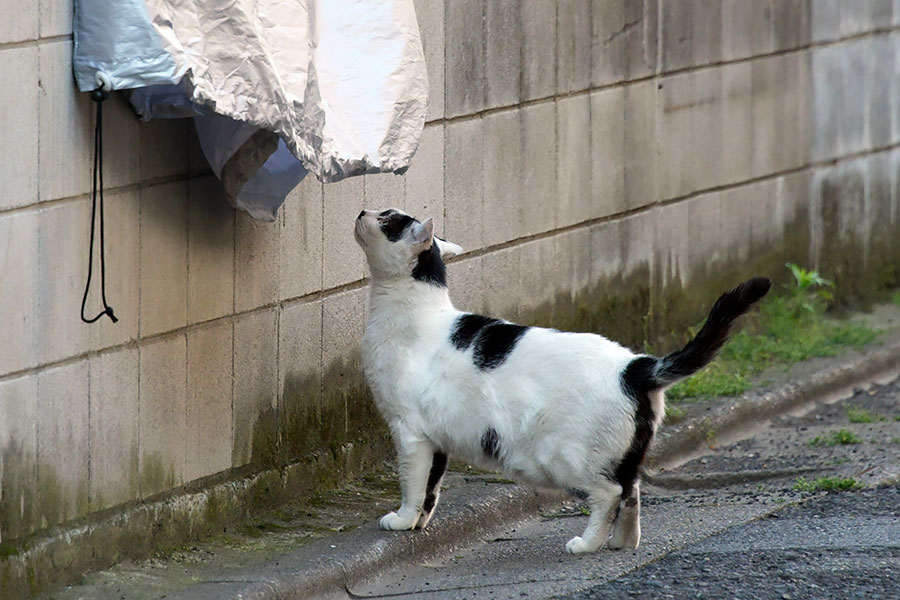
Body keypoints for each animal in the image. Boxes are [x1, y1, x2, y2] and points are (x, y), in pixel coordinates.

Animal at [356, 209, 768, 556]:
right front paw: (419, 523)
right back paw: (622, 542)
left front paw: (402, 519)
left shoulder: (409, 432)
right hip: (625, 455)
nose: (362, 211)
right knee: (633, 492)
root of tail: (637, 366)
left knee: (610, 494)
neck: (412, 312)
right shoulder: (437, 438)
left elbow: (412, 483)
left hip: (568, 457)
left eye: (387, 219)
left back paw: (587, 544)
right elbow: (432, 487)